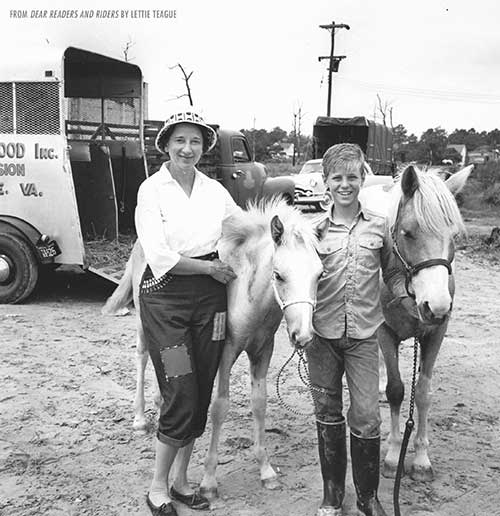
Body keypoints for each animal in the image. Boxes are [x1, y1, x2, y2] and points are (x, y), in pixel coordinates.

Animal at [102, 199, 328, 496]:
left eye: (319, 275)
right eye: (279, 275)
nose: (302, 335)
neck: (246, 295)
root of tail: (140, 242)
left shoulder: (262, 351)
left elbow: (259, 403)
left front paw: (266, 470)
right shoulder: (225, 351)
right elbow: (219, 407)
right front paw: (209, 481)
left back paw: (160, 402)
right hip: (142, 318)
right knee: (142, 355)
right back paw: (139, 419)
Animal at [360, 163, 472, 482]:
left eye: (454, 236)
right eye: (408, 233)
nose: (436, 306)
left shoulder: (435, 334)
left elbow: (422, 393)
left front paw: (421, 459)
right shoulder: (385, 332)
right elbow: (397, 391)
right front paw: (393, 454)